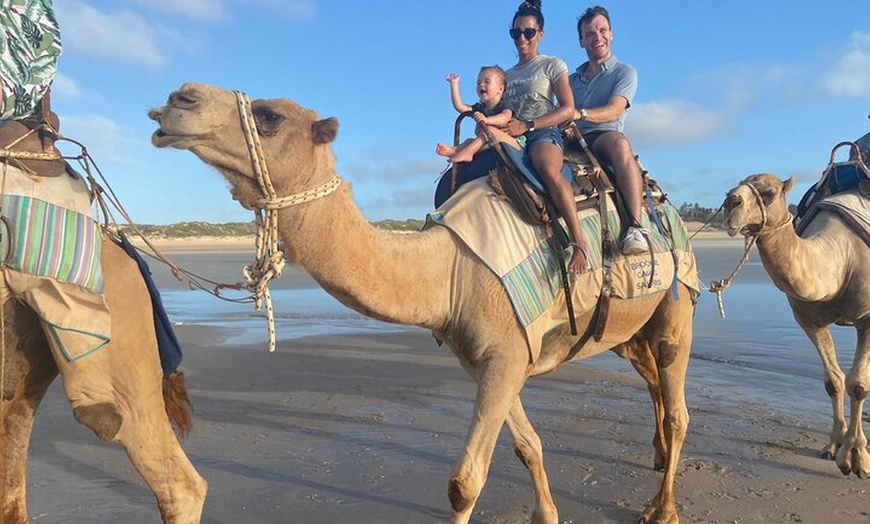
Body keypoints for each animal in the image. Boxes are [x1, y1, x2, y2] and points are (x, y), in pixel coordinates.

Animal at [146, 82, 700, 524]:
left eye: (270, 116)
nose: (178, 98)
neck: (448, 271)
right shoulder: (492, 358)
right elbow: (527, 446)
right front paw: (546, 514)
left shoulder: (505, 355)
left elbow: (464, 482)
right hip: (626, 329)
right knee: (651, 377)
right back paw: (655, 458)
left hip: (677, 304)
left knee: (678, 406)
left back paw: (663, 508)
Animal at [724, 174, 870, 476]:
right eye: (735, 185)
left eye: (768, 193)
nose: (730, 201)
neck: (843, 258)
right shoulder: (808, 319)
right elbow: (834, 381)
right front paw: (833, 446)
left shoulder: (867, 318)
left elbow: (859, 385)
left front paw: (856, 458)